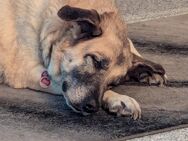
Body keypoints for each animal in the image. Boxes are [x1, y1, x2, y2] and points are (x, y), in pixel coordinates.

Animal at [0, 0, 166, 119]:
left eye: (113, 83)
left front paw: (148, 69)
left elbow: (129, 42)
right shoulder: (26, 71)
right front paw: (118, 98)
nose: (92, 107)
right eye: (96, 61)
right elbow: (60, 83)